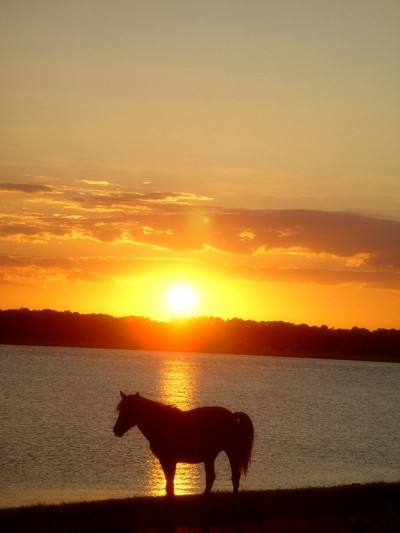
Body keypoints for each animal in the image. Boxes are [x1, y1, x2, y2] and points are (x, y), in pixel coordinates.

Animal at [112, 390, 253, 508]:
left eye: (129, 409)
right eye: (120, 409)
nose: (116, 430)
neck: (161, 424)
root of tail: (233, 416)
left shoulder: (169, 460)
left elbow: (170, 483)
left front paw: (171, 505)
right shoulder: (165, 461)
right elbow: (168, 483)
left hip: (231, 451)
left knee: (234, 476)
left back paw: (232, 505)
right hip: (210, 456)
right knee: (212, 477)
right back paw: (203, 504)